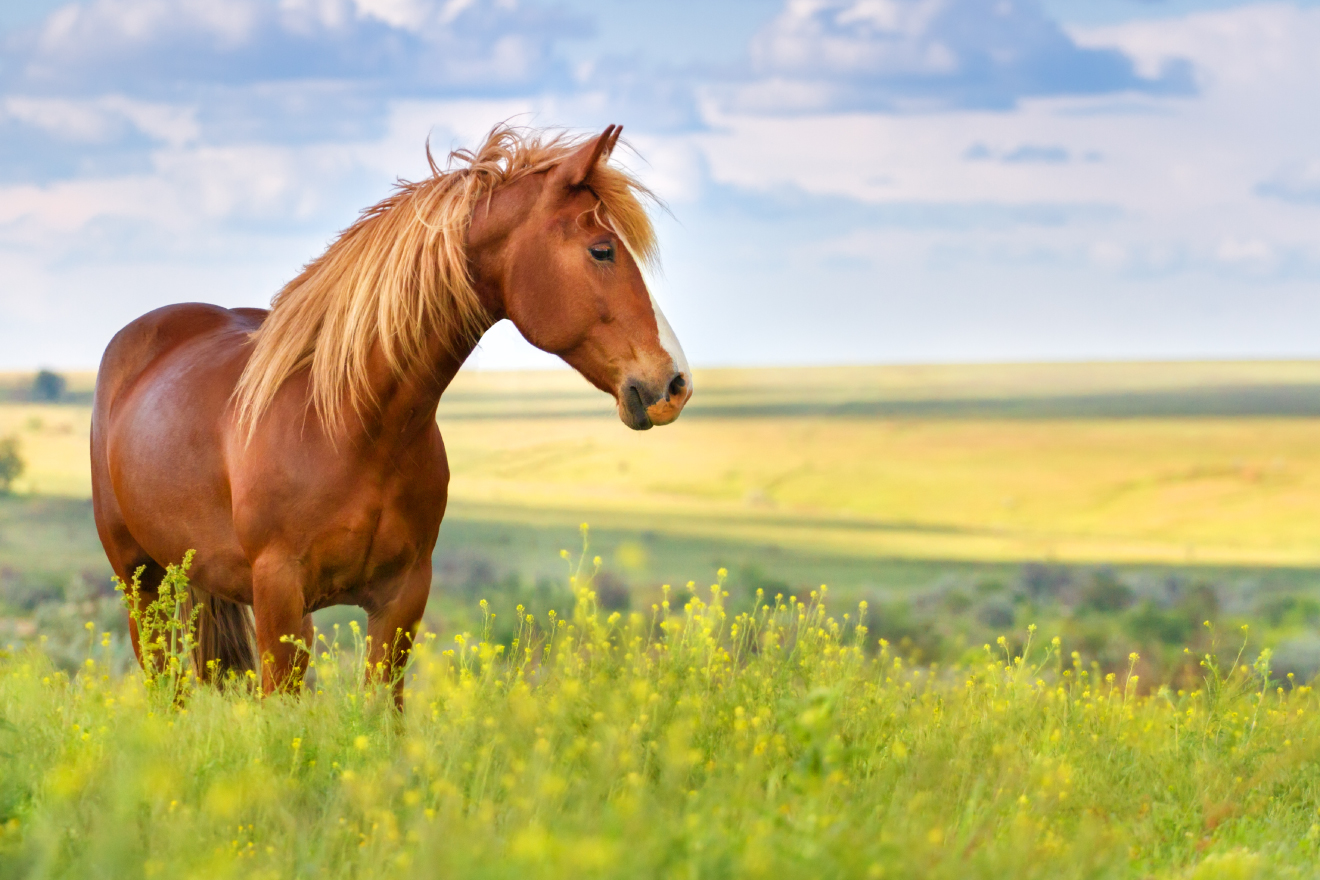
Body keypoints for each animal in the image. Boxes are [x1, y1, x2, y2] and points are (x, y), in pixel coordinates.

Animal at [91, 124, 691, 707]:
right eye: (602, 250)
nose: (675, 383)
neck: (352, 426)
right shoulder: (279, 597)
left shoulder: (401, 598)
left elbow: (383, 714)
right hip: (140, 583)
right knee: (165, 689)